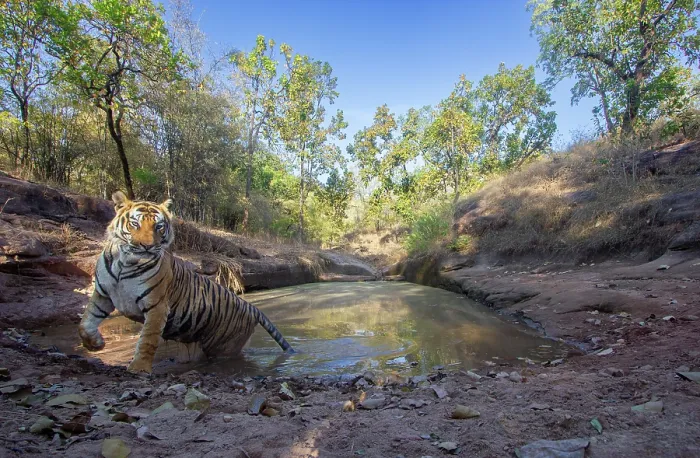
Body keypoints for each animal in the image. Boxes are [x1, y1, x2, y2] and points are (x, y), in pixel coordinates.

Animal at [78, 191, 293, 373]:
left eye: (159, 226)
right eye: (135, 224)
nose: (147, 247)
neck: (124, 263)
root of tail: (252, 307)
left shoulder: (157, 306)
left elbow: (147, 340)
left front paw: (138, 368)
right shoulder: (103, 294)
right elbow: (85, 322)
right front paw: (94, 344)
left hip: (224, 346)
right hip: (192, 345)